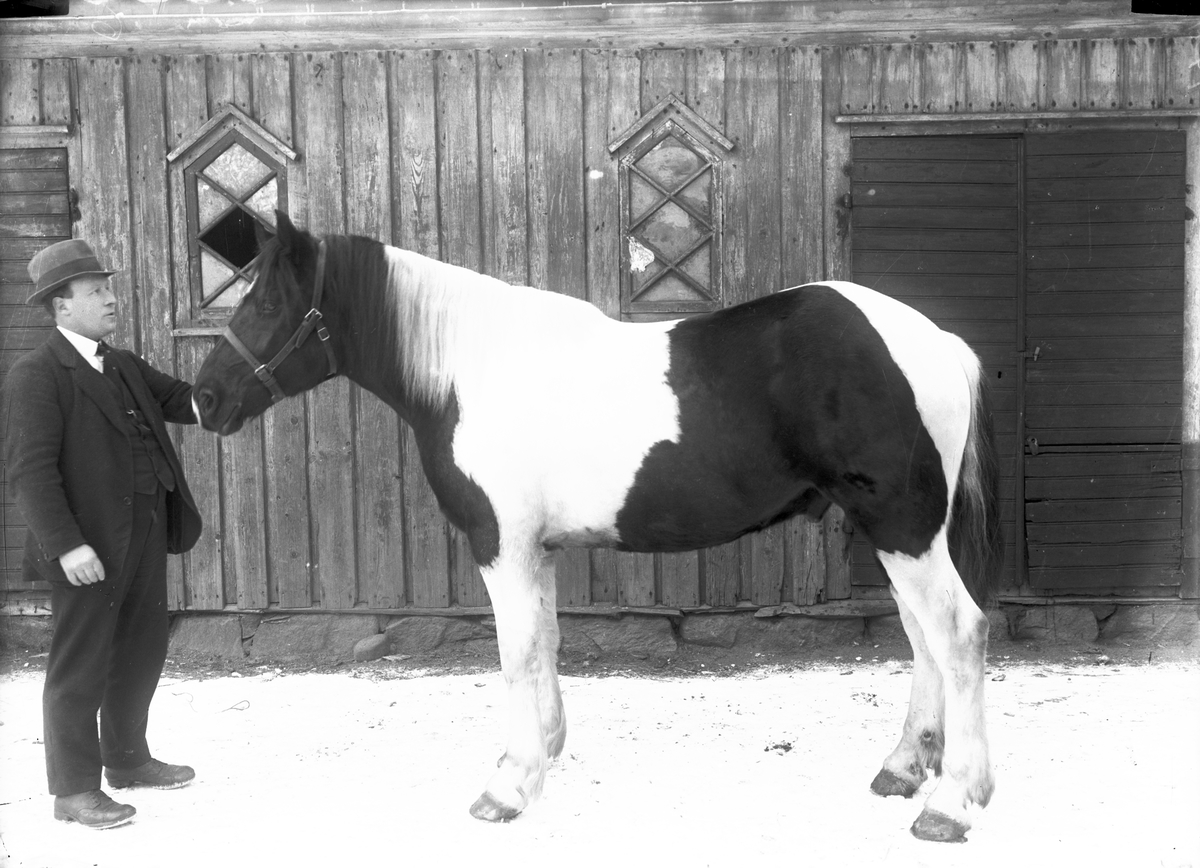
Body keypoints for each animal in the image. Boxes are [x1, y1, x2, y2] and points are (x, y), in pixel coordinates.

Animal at [192, 211, 1003, 843]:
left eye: (268, 301)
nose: (204, 399)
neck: (471, 372)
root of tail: (936, 341)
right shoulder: (535, 551)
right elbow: (547, 645)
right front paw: (545, 754)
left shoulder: (502, 546)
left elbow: (516, 655)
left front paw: (508, 786)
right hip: (894, 530)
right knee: (923, 641)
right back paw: (904, 768)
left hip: (902, 526)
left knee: (958, 634)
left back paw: (952, 805)